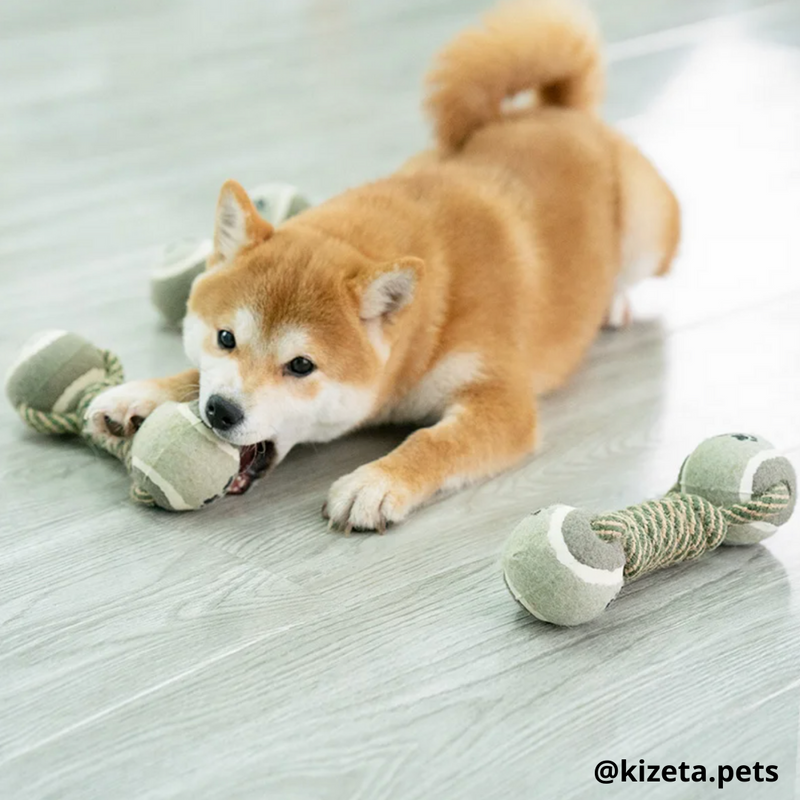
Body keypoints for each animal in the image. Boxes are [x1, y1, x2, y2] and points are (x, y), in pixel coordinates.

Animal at [87, 3, 680, 536]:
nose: (220, 413)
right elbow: (192, 372)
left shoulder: (501, 401)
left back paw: (615, 302)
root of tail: (563, 113)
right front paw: (141, 394)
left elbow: (434, 441)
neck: (429, 321)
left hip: (650, 229)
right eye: (226, 338)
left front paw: (377, 481)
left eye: (301, 366)